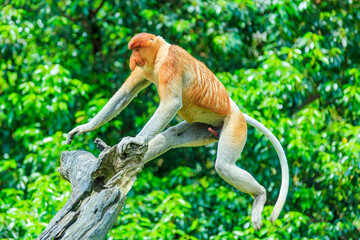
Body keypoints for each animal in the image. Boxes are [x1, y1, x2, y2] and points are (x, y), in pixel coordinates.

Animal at [67, 32, 290, 231]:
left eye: (137, 49)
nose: (132, 60)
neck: (160, 54)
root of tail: (235, 108)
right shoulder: (144, 70)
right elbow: (125, 94)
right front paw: (83, 128)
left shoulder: (170, 64)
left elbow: (171, 103)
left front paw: (133, 140)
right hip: (205, 128)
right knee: (171, 137)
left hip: (234, 125)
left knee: (224, 166)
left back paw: (260, 195)